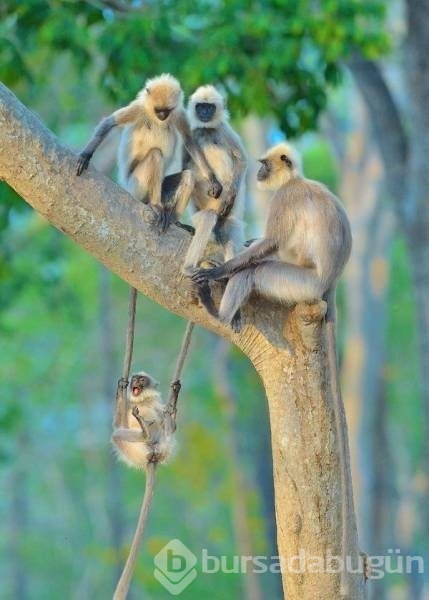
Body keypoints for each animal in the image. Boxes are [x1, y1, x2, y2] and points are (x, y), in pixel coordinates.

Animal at [75, 71, 221, 230]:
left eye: (166, 111)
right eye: (158, 110)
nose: (162, 116)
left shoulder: (178, 113)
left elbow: (189, 141)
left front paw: (213, 179)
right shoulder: (139, 108)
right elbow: (109, 123)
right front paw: (85, 155)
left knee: (188, 176)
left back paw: (174, 220)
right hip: (135, 187)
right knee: (156, 155)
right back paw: (156, 205)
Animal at [110, 370, 179, 600]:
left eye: (141, 379)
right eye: (134, 379)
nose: (134, 382)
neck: (143, 401)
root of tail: (153, 456)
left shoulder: (157, 404)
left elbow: (171, 424)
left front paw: (173, 399)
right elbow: (117, 425)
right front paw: (120, 388)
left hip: (163, 446)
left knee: (165, 428)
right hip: (134, 451)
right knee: (118, 434)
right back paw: (143, 432)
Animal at [179, 85, 246, 276]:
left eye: (210, 107)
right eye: (201, 107)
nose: (205, 113)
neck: (207, 129)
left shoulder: (224, 129)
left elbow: (242, 160)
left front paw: (230, 195)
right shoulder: (194, 132)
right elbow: (185, 165)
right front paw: (213, 182)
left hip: (226, 214)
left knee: (228, 230)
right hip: (203, 210)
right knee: (208, 217)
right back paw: (188, 268)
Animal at [192, 139, 352, 596]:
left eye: (264, 164)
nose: (260, 172)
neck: (296, 180)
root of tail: (328, 287)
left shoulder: (285, 199)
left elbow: (268, 246)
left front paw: (221, 270)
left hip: (298, 285)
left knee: (261, 270)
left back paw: (219, 310)